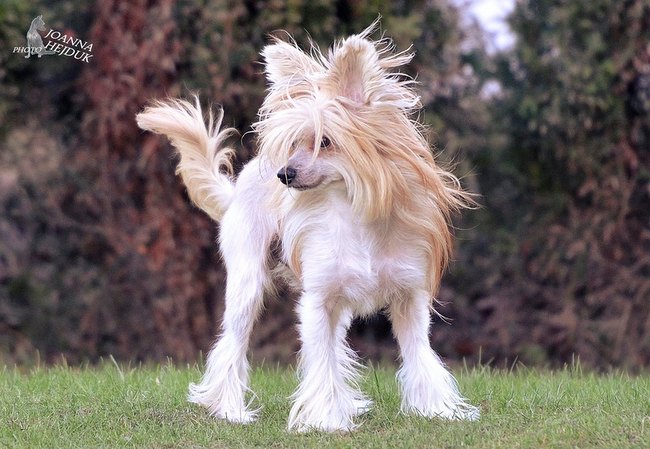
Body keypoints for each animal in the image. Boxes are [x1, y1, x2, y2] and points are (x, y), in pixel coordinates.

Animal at [136, 22, 479, 432]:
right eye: (294, 143)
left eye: (325, 142)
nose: (283, 174)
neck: (350, 211)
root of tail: (238, 186)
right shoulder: (317, 302)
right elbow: (321, 362)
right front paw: (327, 419)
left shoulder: (409, 299)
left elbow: (420, 356)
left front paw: (437, 410)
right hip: (247, 283)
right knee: (233, 344)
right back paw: (230, 409)